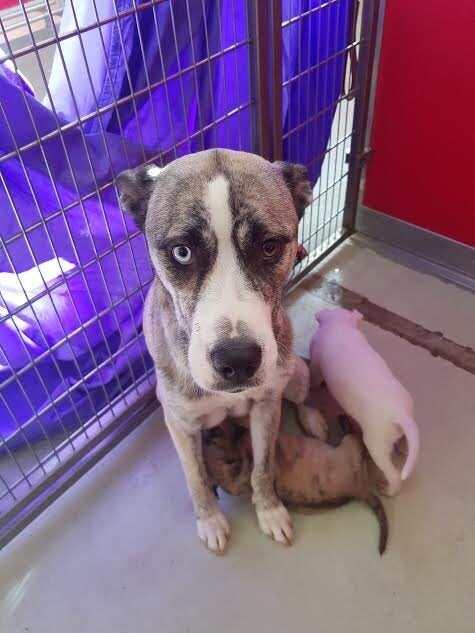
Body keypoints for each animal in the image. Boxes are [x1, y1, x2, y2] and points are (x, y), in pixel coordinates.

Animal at [312, 308, 420, 496]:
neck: (341, 326)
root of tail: (401, 414)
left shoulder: (316, 364)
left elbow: (314, 375)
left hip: (376, 445)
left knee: (394, 475)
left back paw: (388, 490)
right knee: (405, 444)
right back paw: (404, 448)